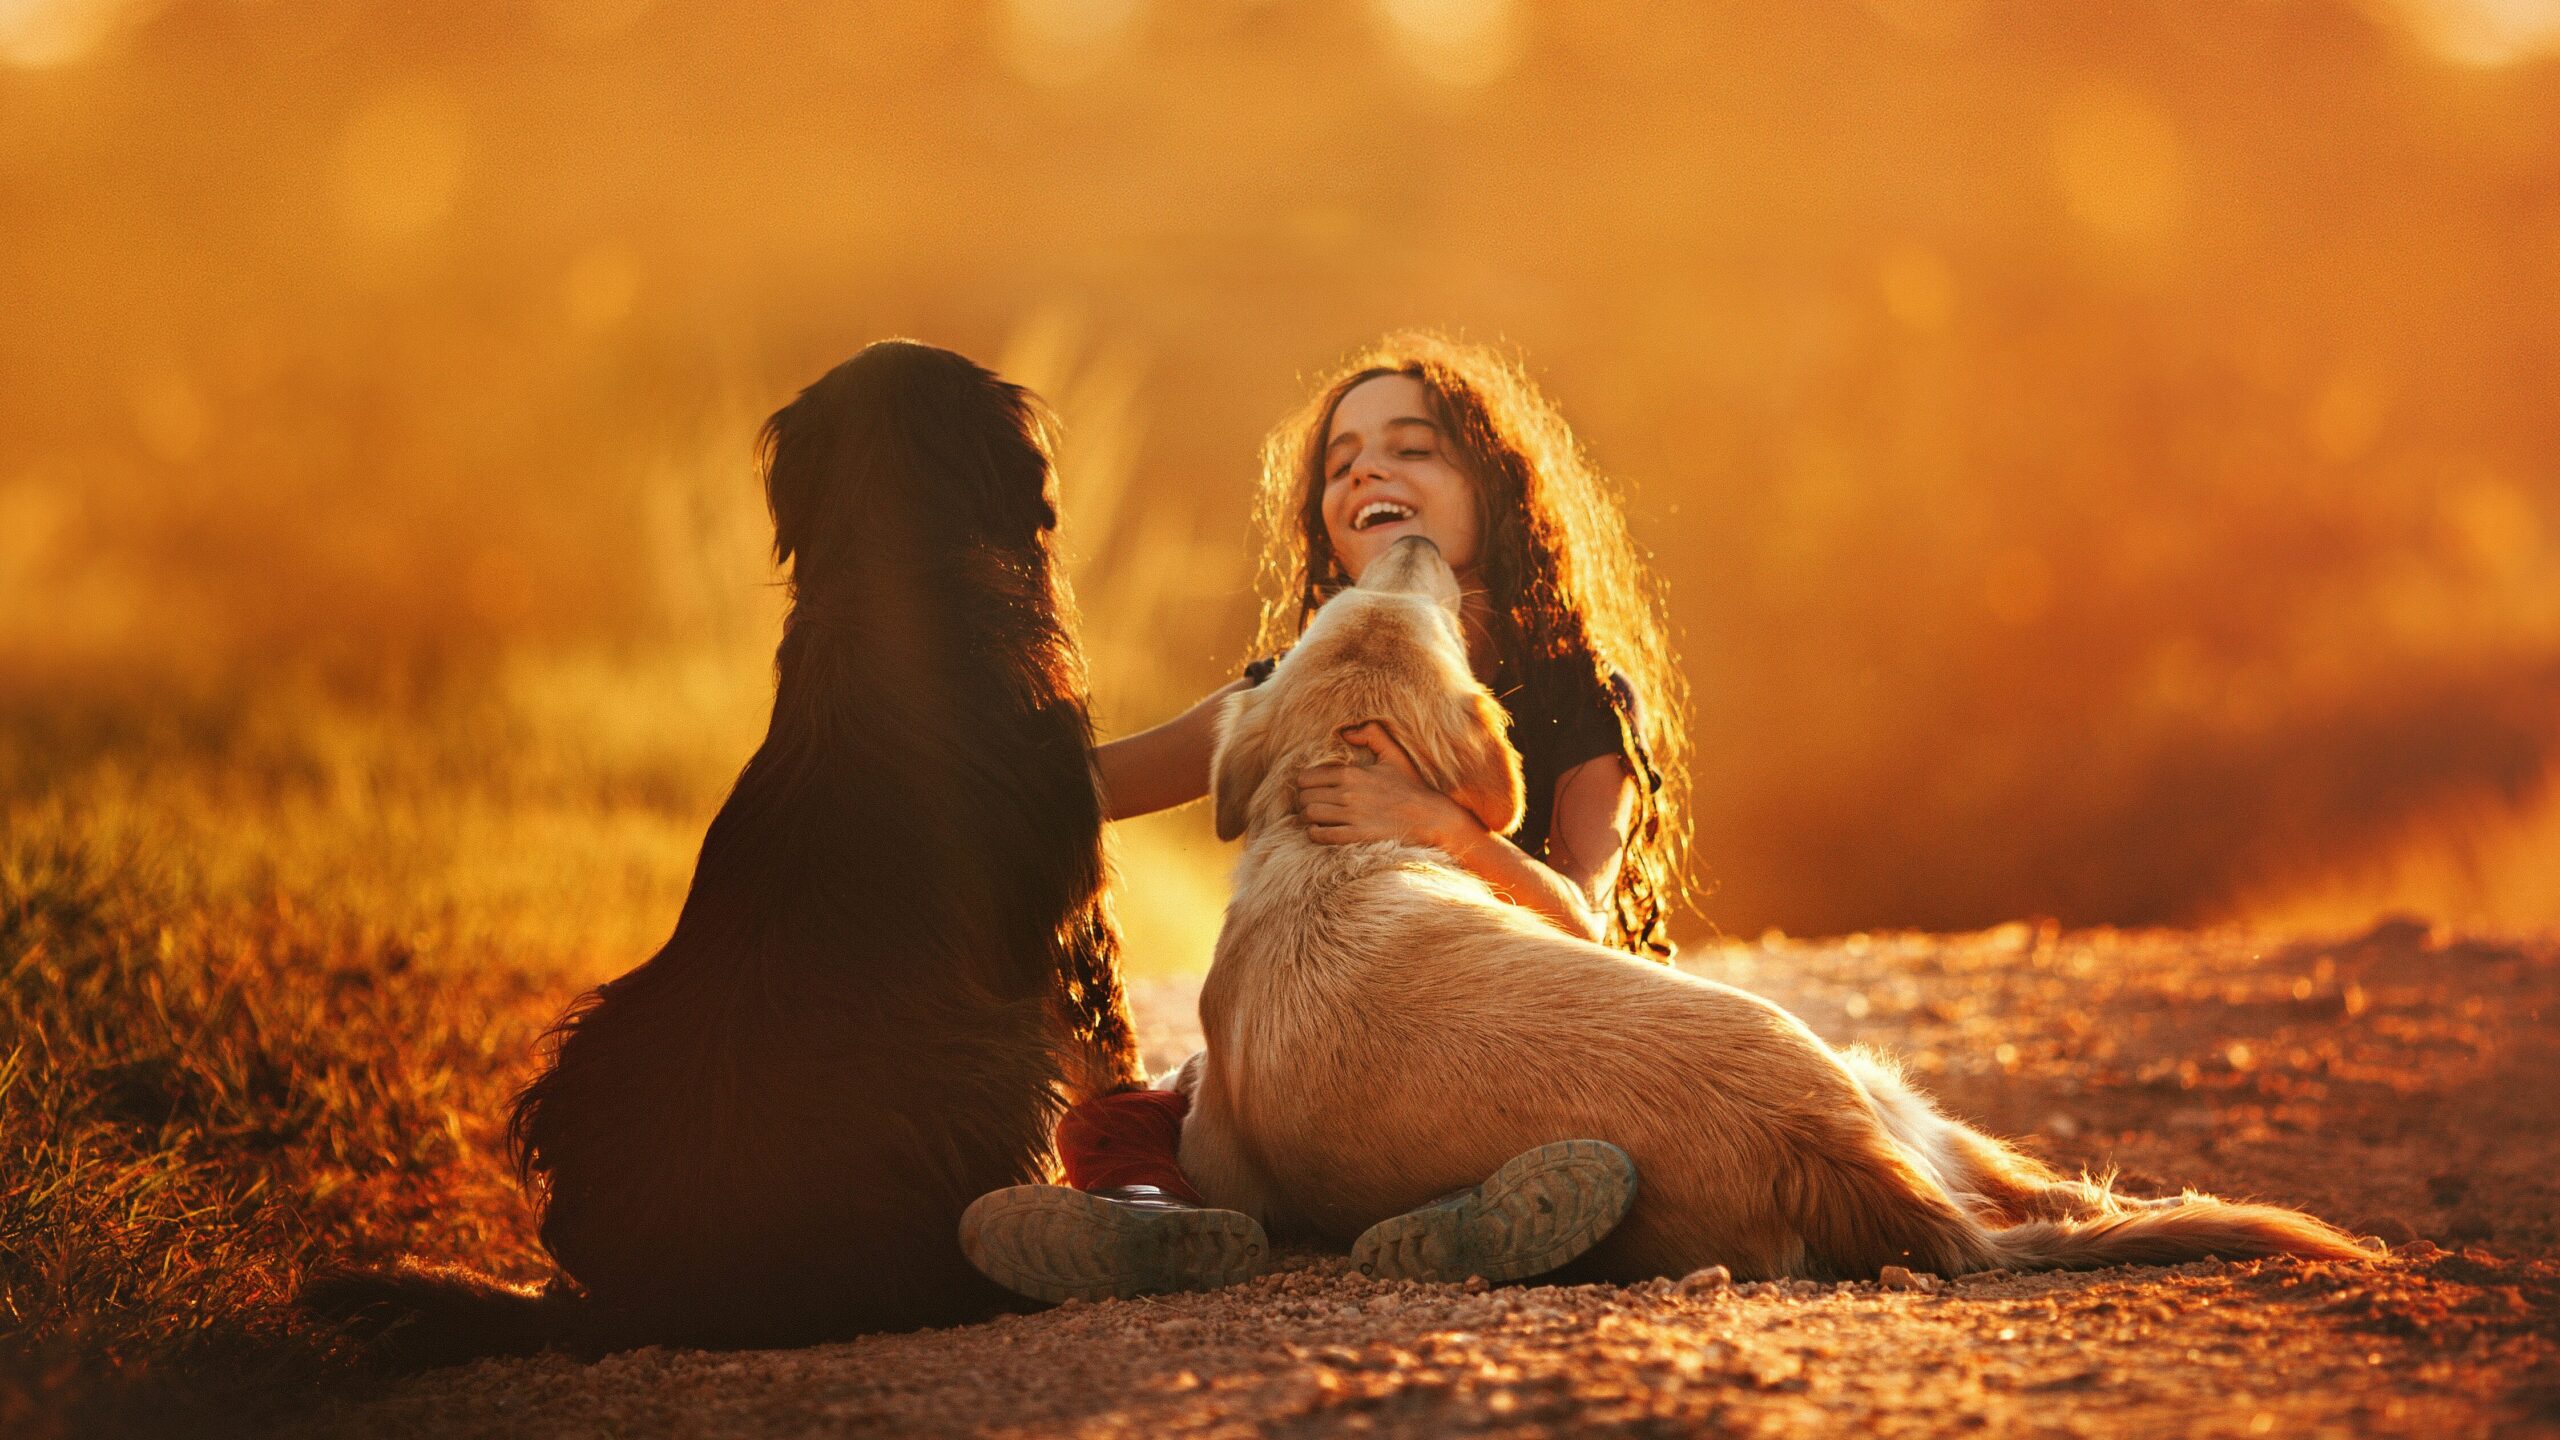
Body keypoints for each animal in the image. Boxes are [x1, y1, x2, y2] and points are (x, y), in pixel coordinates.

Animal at [309, 338, 1141, 1352]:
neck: (897, 590)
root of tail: (658, 1296)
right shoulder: (1076, 918)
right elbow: (1114, 1039)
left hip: (583, 1046)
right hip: (994, 1056)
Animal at [1172, 538, 2365, 1276]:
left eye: (1391, 606)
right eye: (1351, 606)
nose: (1414, 539)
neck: (1335, 832)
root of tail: (1823, 1138)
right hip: (1885, 1087)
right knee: (2056, 1193)